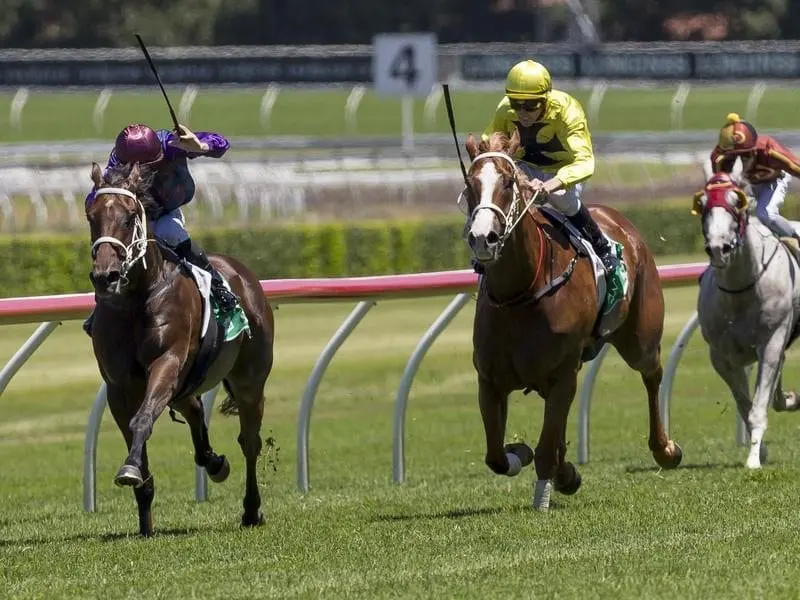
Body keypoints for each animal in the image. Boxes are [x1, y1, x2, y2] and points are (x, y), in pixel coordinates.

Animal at [86, 162, 276, 536]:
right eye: (91, 216)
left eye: (130, 217)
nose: (106, 276)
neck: (136, 299)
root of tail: (244, 275)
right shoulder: (119, 385)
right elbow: (133, 432)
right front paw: (143, 514)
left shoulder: (167, 362)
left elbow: (142, 419)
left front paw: (129, 470)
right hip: (186, 384)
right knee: (195, 411)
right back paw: (214, 462)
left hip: (249, 380)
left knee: (250, 441)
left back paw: (251, 509)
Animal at [462, 132, 680, 510]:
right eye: (470, 184)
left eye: (508, 182)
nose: (482, 237)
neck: (521, 293)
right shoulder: (490, 379)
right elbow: (496, 456)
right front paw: (523, 453)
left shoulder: (563, 373)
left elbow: (546, 449)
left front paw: (544, 496)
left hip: (640, 338)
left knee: (652, 375)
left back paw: (665, 450)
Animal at [692, 164, 800, 468]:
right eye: (702, 203)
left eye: (735, 201)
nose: (719, 248)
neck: (741, 291)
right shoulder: (721, 355)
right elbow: (745, 405)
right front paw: (759, 451)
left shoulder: (772, 341)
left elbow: (758, 407)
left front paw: (753, 460)